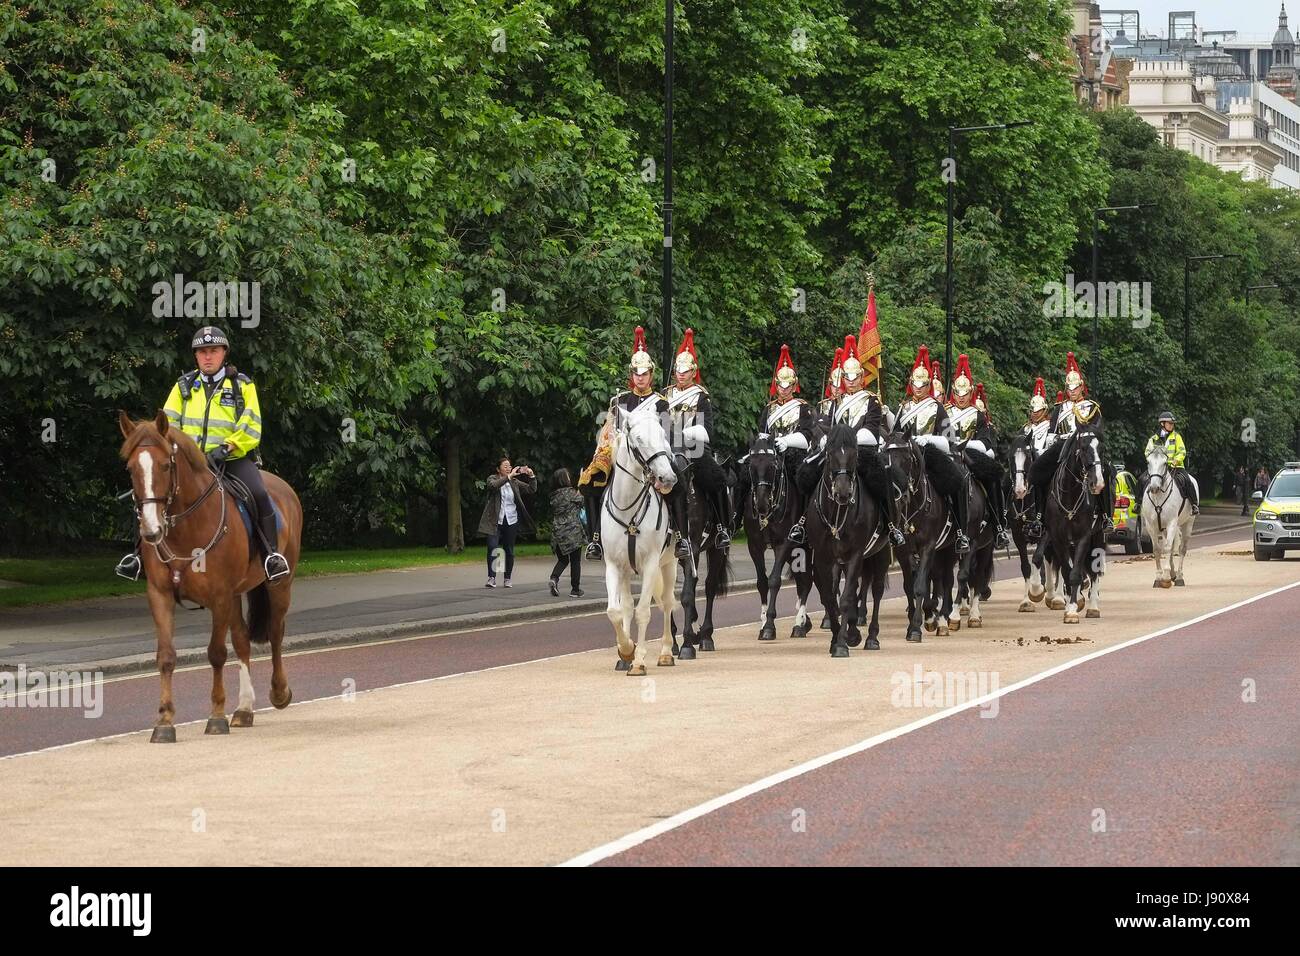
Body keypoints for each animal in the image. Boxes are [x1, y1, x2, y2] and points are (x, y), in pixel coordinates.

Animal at [115, 408, 300, 738]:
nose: (151, 530)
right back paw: (244, 709)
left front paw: (216, 716)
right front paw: (164, 721)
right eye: (131, 468)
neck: (186, 529)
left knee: (276, 633)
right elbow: (166, 656)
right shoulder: (160, 594)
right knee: (242, 640)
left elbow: (216, 653)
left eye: (165, 465)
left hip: (279, 585)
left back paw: (279, 693)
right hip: (238, 593)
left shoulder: (220, 596)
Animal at [598, 408, 681, 676]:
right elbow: (615, 611)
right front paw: (626, 650)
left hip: (670, 564)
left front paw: (639, 661)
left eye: (664, 435)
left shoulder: (652, 564)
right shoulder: (614, 565)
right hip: (628, 571)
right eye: (639, 439)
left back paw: (666, 652)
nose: (667, 477)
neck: (629, 512)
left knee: (668, 603)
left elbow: (643, 611)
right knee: (626, 606)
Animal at [743, 434, 811, 642]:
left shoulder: (784, 543)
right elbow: (762, 582)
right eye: (751, 464)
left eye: (773, 465)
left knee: (808, 580)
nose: (762, 505)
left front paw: (769, 626)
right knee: (803, 581)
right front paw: (763, 622)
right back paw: (803, 622)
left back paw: (801, 624)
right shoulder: (754, 545)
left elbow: (774, 580)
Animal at [1138, 444, 1196, 587]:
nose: (1154, 487)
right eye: (1148, 462)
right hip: (1164, 529)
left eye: (1165, 463)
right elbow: (1157, 550)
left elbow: (1168, 548)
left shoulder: (1171, 523)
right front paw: (1159, 578)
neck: (1159, 496)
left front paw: (1165, 576)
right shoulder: (1151, 526)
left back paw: (1179, 576)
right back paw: (1173, 574)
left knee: (1182, 549)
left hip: (1188, 524)